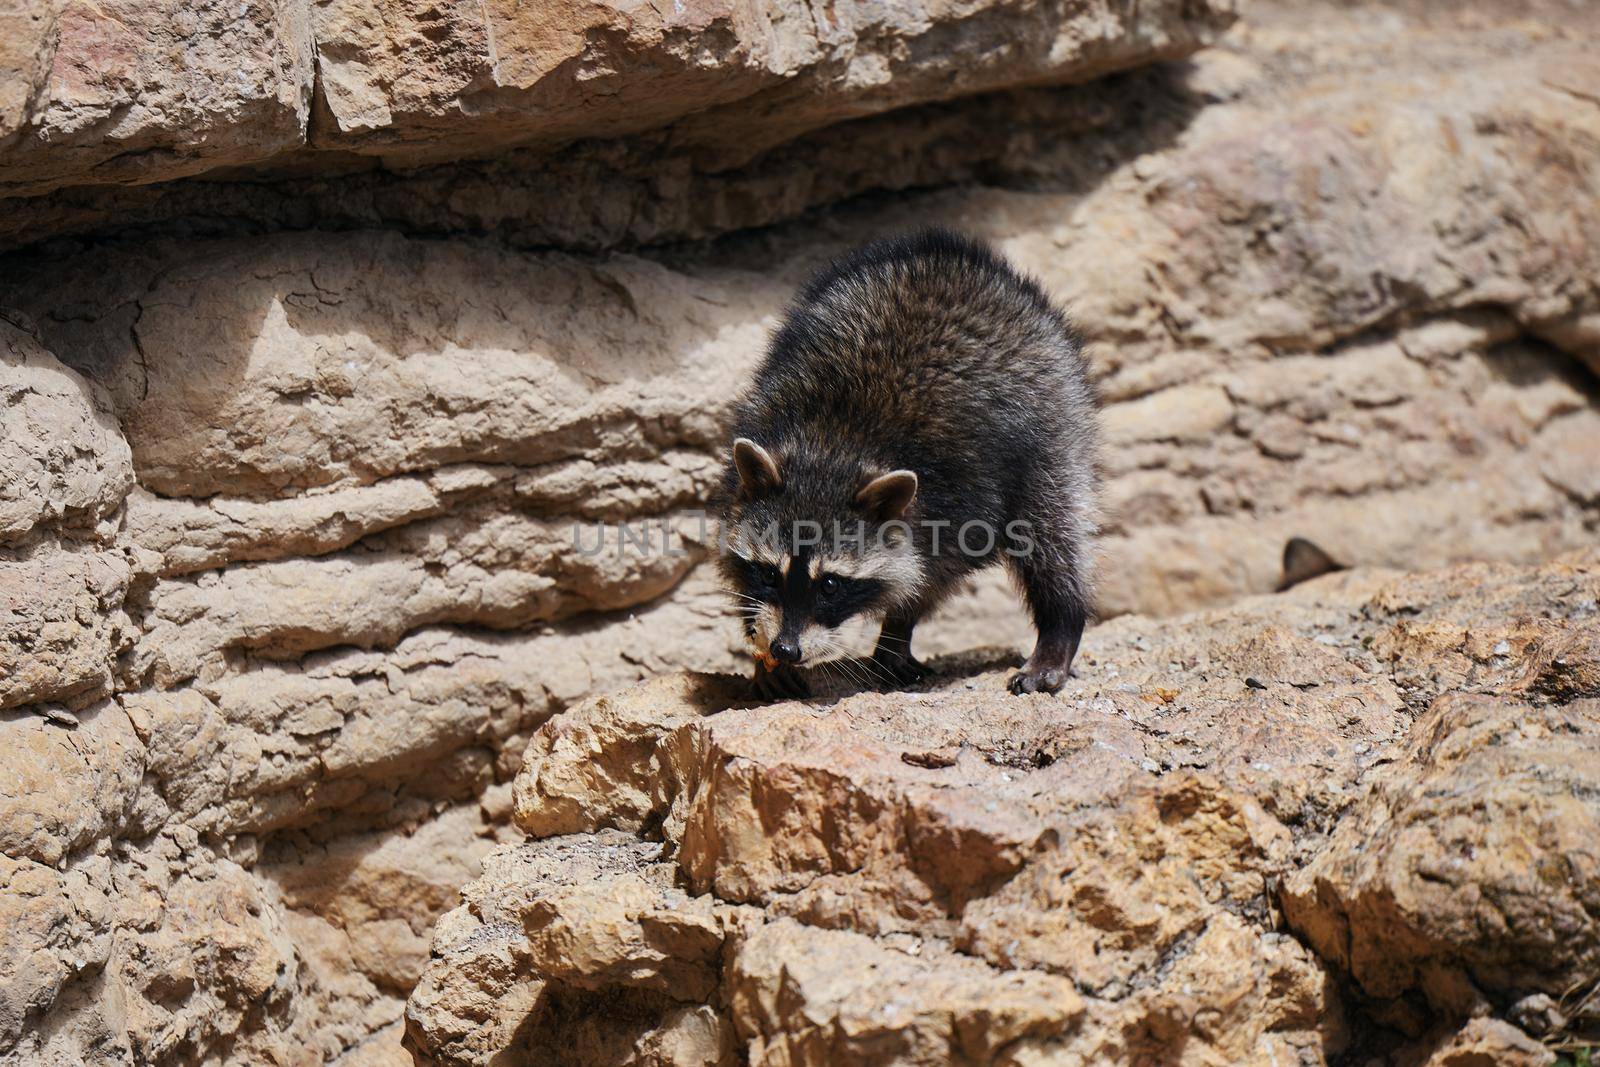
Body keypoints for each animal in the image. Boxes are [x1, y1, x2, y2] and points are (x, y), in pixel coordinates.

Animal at [716, 227, 1100, 700]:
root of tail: (953, 258)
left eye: (830, 584)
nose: (785, 649)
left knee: (1052, 532)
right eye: (769, 574)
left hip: (1056, 421)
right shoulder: (755, 433)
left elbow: (929, 574)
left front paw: (898, 627)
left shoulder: (959, 498)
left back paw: (1061, 623)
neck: (834, 446)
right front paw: (760, 648)